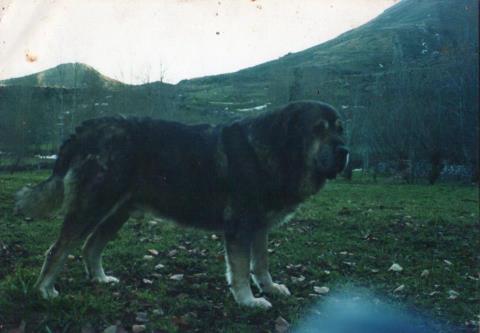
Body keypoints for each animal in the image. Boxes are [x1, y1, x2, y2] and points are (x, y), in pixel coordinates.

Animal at [15, 100, 348, 308]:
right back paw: (44, 291)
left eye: (340, 129)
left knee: (90, 246)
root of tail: (87, 128)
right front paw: (248, 301)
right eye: (318, 129)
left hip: (116, 212)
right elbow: (241, 269)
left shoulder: (259, 226)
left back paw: (99, 278)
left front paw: (269, 287)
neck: (276, 149)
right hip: (93, 206)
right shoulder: (240, 226)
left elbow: (261, 263)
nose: (344, 151)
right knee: (59, 249)